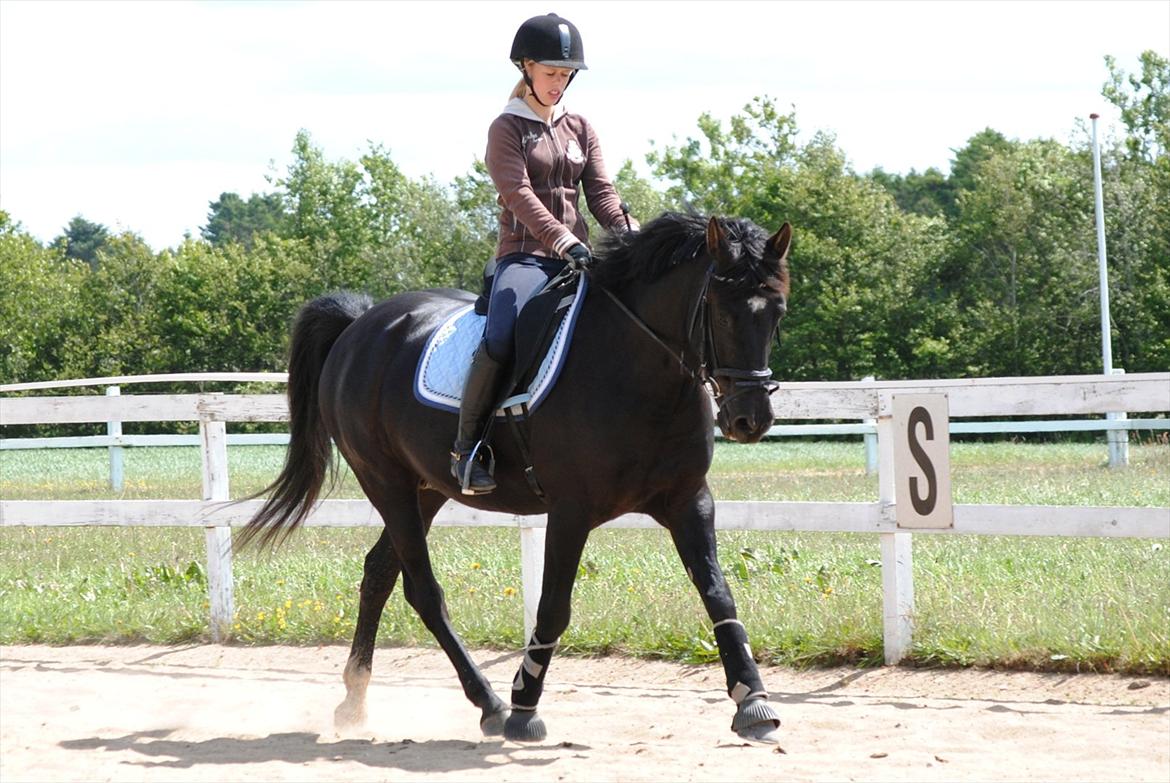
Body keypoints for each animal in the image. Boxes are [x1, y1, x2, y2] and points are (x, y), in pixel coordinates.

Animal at [237, 211, 793, 743]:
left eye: (778, 313)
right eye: (721, 310)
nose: (750, 419)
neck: (637, 368)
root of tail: (359, 326)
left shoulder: (689, 501)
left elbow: (718, 593)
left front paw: (752, 702)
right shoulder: (571, 511)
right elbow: (553, 607)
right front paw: (525, 706)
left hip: (427, 489)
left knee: (380, 573)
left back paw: (355, 702)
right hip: (386, 482)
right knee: (423, 591)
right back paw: (490, 704)